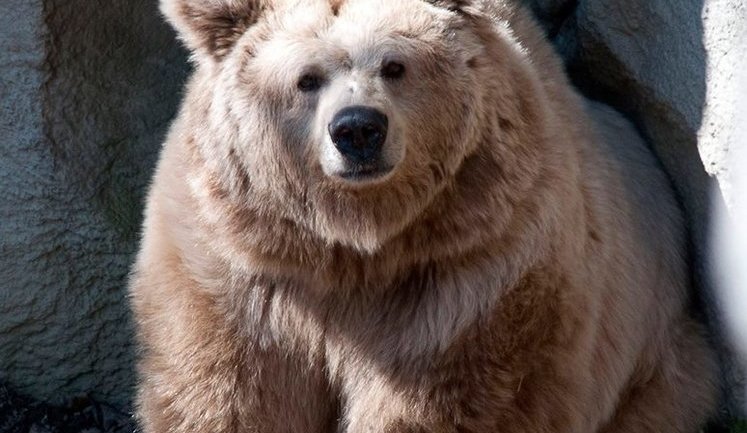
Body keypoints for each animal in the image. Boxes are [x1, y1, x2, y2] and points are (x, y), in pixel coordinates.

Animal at [129, 0, 718, 432]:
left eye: (394, 65)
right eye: (306, 78)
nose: (358, 129)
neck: (356, 244)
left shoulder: (474, 271)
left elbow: (445, 402)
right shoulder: (243, 270)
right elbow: (231, 394)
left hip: (655, 353)